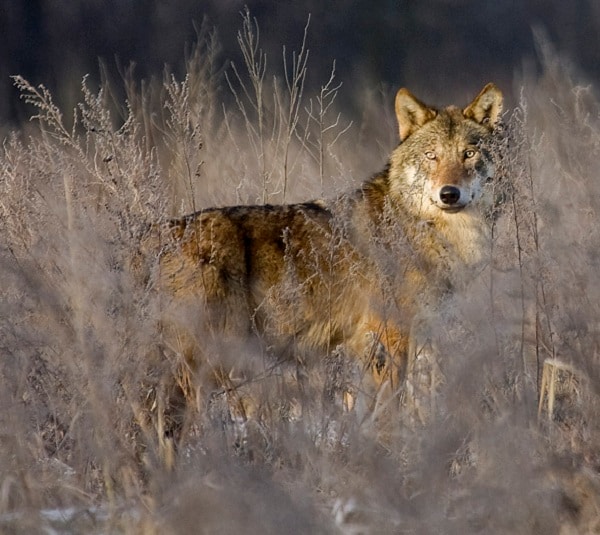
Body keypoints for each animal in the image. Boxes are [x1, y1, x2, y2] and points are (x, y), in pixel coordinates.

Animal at [148, 84, 504, 418]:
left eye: (469, 154)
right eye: (431, 155)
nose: (449, 194)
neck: (425, 229)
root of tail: (157, 235)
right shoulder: (388, 339)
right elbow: (389, 411)